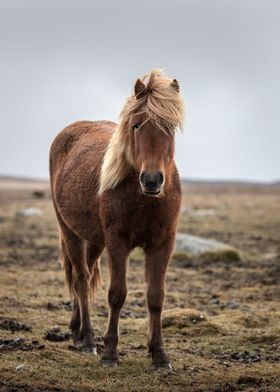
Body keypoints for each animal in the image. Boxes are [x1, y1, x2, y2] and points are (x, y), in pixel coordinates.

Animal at [49, 69, 185, 370]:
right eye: (135, 125)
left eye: (170, 128)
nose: (152, 180)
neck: (145, 200)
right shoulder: (117, 242)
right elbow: (117, 294)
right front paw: (110, 352)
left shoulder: (163, 244)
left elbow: (155, 297)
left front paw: (159, 354)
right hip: (70, 231)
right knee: (80, 278)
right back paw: (88, 339)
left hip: (94, 239)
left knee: (86, 275)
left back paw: (77, 331)